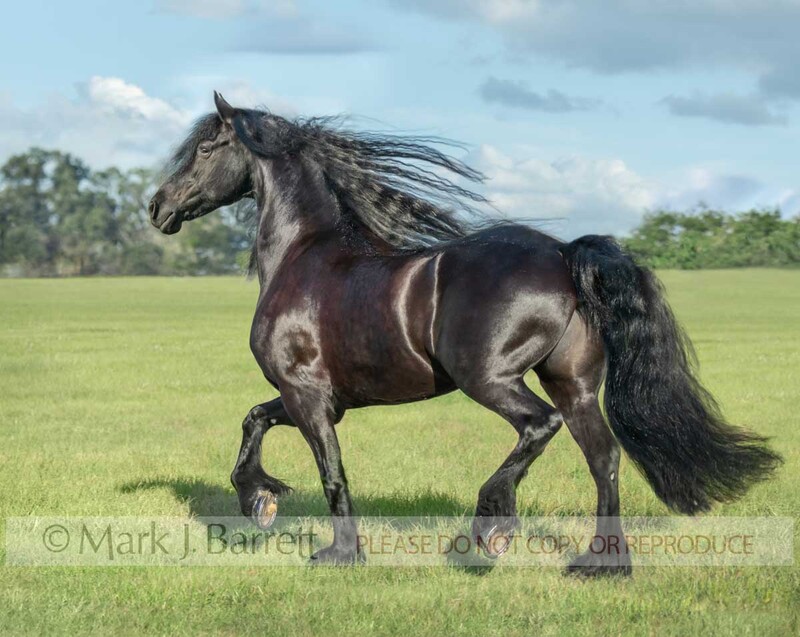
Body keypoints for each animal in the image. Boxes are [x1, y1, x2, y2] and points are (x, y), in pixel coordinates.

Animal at [148, 92, 780, 575]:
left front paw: (338, 553)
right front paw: (258, 499)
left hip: (491, 378)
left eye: (206, 148)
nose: (157, 207)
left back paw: (490, 526)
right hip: (572, 384)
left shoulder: (309, 397)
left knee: (540, 428)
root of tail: (564, 254)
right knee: (603, 458)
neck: (305, 256)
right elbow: (254, 420)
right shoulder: (321, 398)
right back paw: (601, 564)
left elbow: (331, 472)